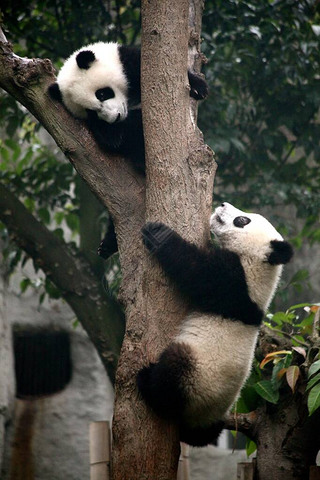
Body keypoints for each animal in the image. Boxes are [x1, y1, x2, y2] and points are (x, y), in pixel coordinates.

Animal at [47, 41, 208, 172]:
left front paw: (198, 88)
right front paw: (115, 132)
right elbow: (114, 140)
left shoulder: (128, 63)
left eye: (101, 94)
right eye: (90, 112)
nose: (116, 117)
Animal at [137, 202, 292, 446]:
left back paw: (148, 384)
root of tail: (201, 421)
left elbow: (196, 271)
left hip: (197, 377)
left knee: (174, 371)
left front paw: (159, 234)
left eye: (242, 220)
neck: (259, 263)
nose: (222, 204)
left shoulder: (235, 284)